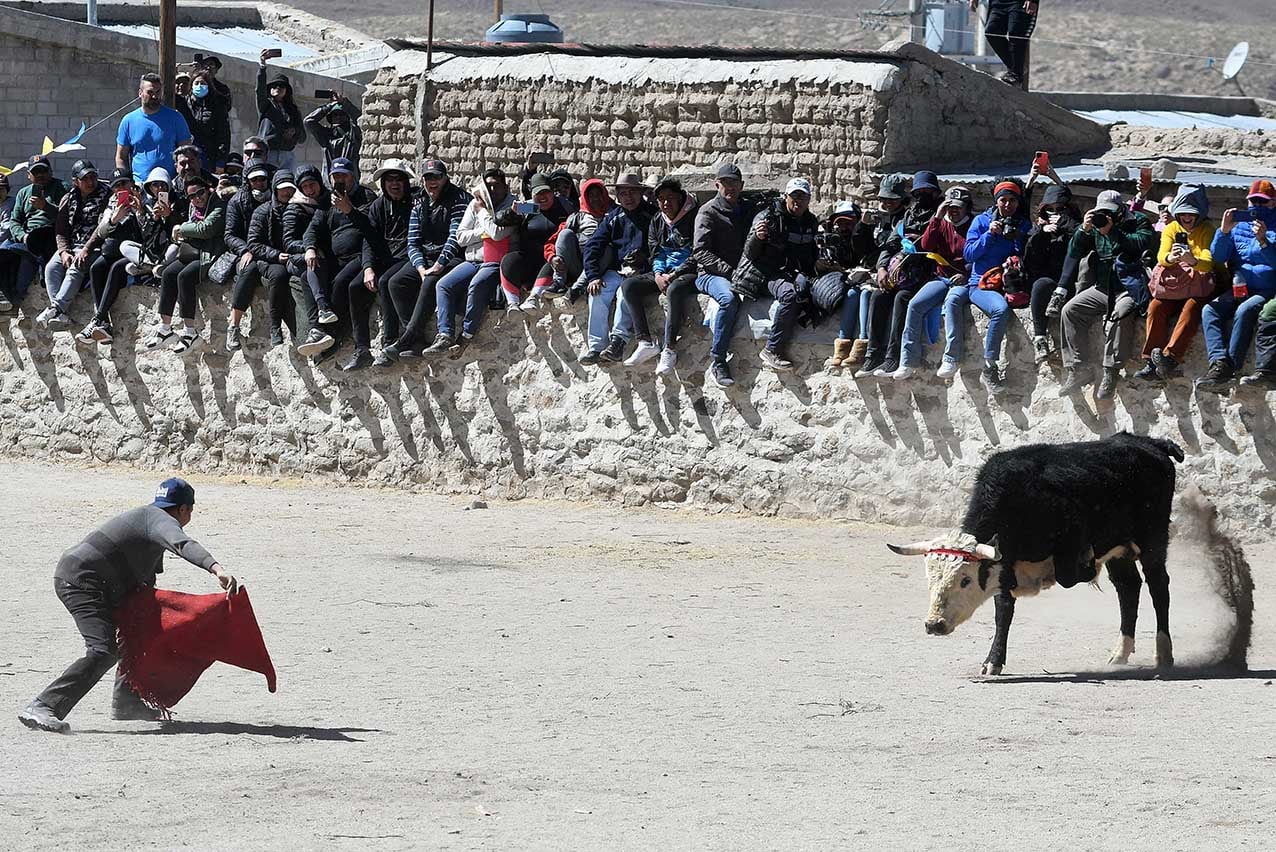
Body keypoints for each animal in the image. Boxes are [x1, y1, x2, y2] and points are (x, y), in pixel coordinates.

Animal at [893, 436, 1179, 673]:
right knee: (1128, 587)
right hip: (1119, 549)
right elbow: (1003, 611)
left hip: (1153, 540)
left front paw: (1084, 566)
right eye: (930, 580)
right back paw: (1120, 654)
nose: (934, 625)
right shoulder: (1004, 563)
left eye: (965, 580)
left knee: (1158, 587)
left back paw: (1163, 654)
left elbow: (1066, 576)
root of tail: (1151, 443)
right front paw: (993, 662)